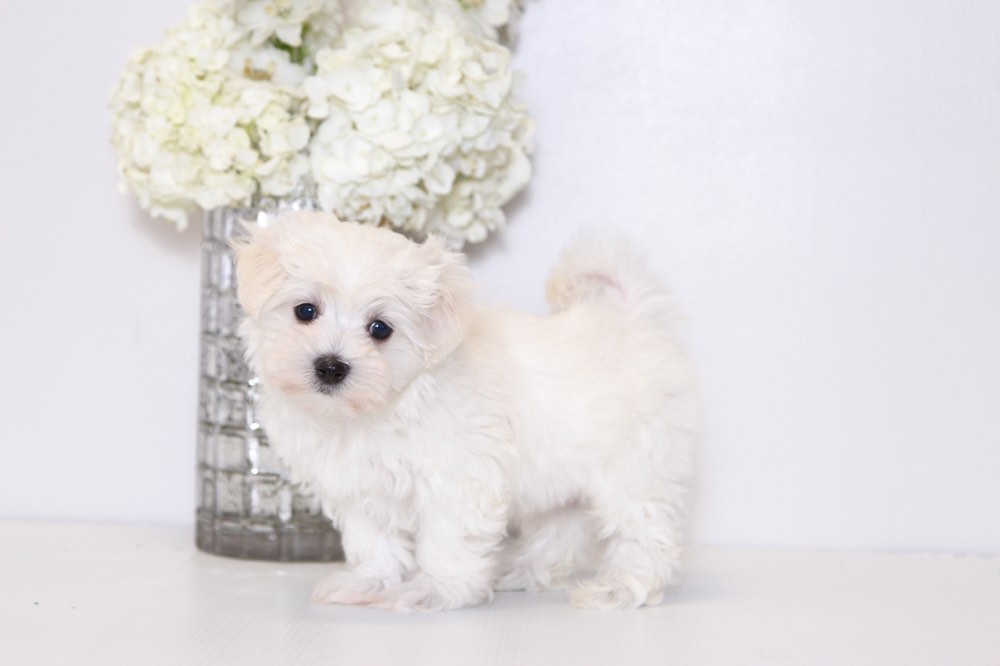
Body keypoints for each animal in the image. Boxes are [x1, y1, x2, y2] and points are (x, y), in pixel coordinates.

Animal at [233, 212, 699, 611]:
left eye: (380, 329)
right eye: (305, 310)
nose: (331, 366)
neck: (373, 413)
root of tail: (630, 321)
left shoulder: (457, 480)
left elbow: (446, 540)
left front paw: (436, 591)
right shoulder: (359, 490)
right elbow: (374, 541)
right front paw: (368, 583)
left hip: (635, 470)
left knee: (644, 534)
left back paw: (620, 589)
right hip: (563, 480)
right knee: (559, 530)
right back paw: (520, 573)